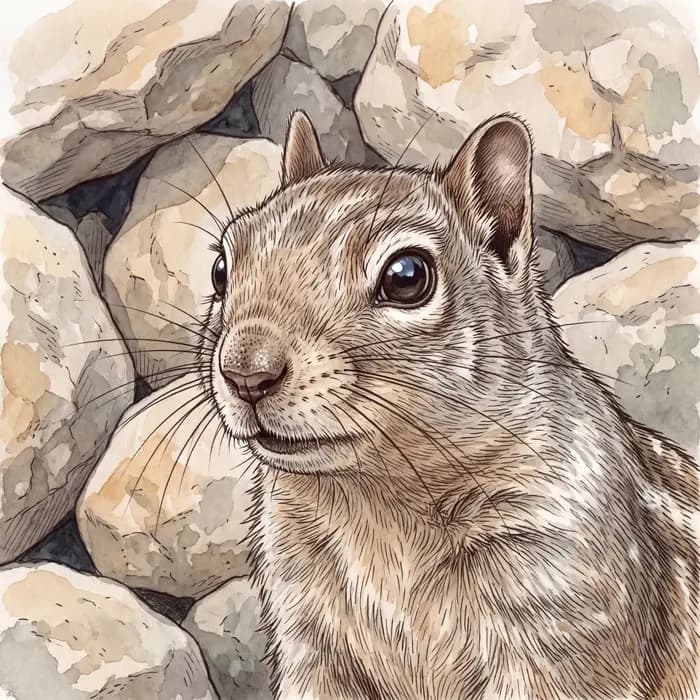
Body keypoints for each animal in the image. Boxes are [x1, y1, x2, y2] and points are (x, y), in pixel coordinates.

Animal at [202, 109, 700, 699]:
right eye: (221, 270)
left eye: (407, 276)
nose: (246, 372)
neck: (376, 501)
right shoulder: (307, 630)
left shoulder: (561, 609)